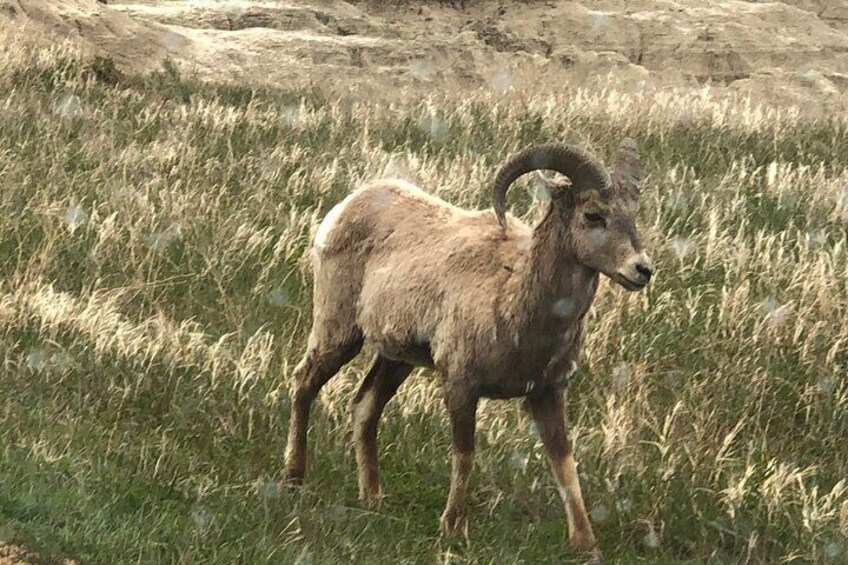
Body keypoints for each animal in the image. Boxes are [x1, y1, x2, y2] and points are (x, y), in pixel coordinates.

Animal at [284, 139, 648, 556]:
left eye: (633, 214)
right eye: (593, 215)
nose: (642, 270)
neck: (512, 296)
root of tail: (346, 207)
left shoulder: (546, 393)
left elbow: (564, 464)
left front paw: (587, 546)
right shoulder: (460, 385)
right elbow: (464, 454)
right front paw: (453, 528)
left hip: (395, 360)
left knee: (364, 408)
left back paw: (373, 498)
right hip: (339, 333)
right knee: (304, 384)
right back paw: (294, 480)